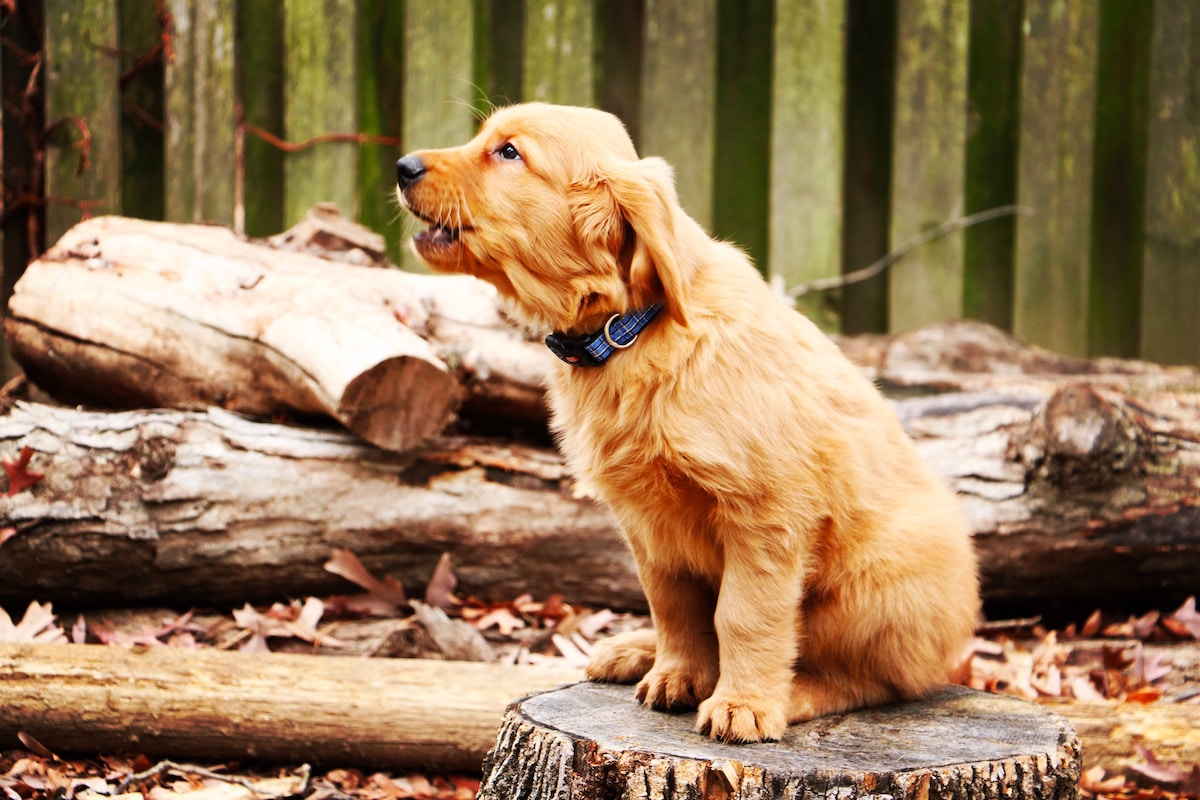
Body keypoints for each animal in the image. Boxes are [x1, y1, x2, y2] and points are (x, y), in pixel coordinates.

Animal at [398, 101, 979, 743]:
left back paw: (795, 693)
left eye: (509, 153)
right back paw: (635, 650)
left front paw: (742, 704)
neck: (629, 331)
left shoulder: (764, 515)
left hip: (873, 586)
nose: (402, 166)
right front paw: (677, 673)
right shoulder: (649, 525)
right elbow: (673, 606)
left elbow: (744, 615)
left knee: (877, 681)